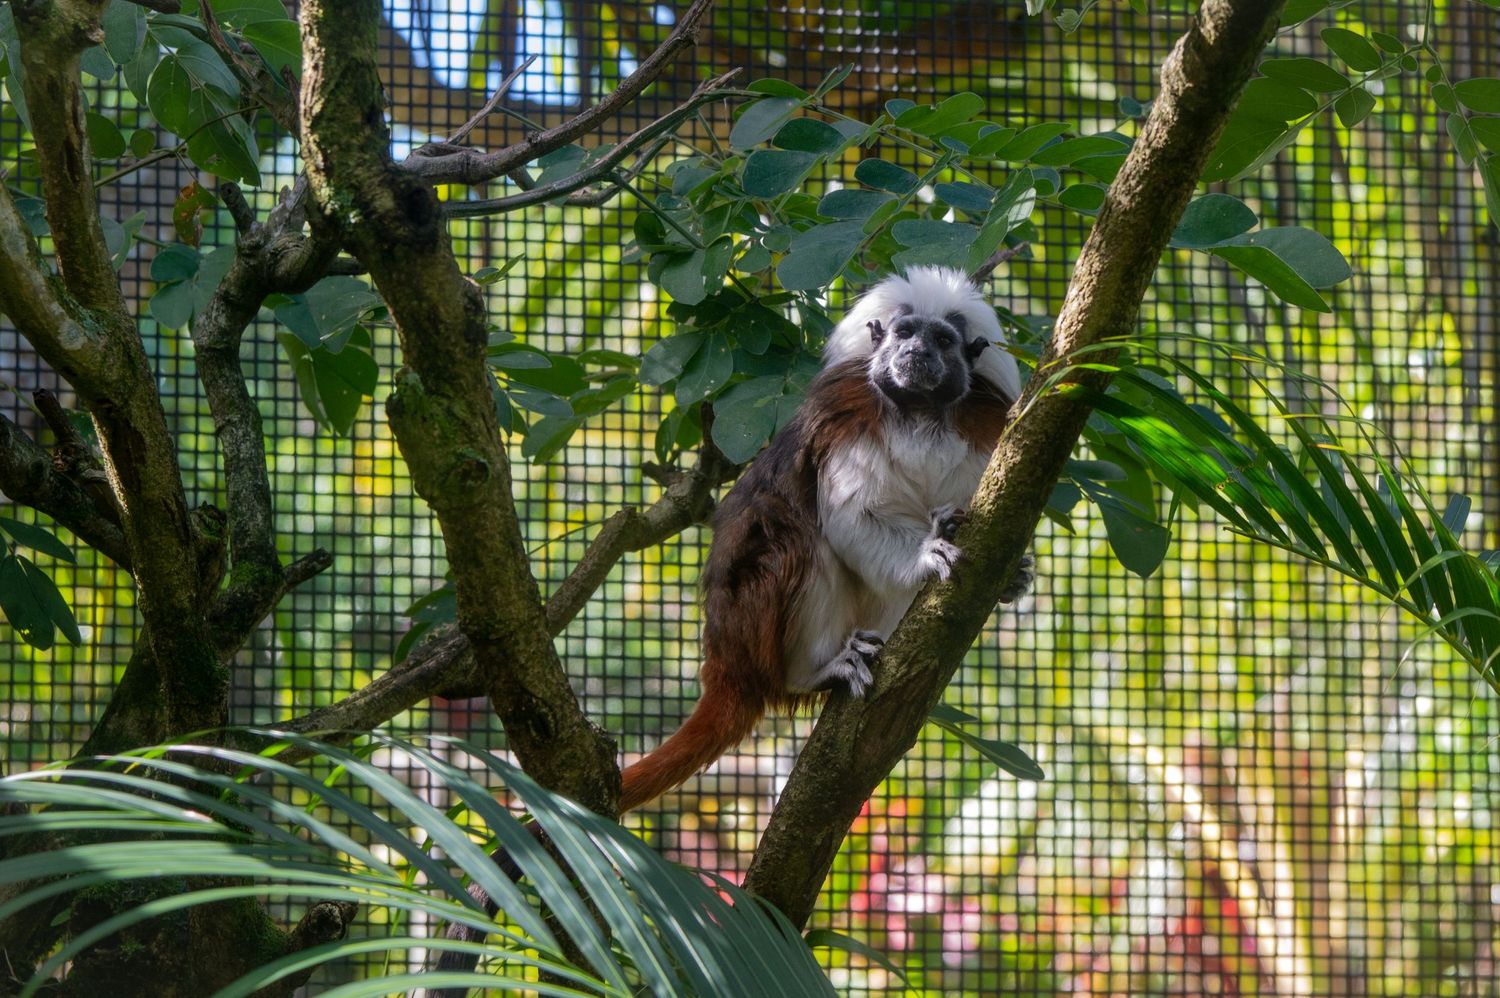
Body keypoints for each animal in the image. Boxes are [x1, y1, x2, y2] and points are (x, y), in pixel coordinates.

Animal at [420, 266, 1031, 996]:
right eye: (903, 333)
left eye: (941, 341)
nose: (913, 355)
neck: (921, 415)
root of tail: (728, 665)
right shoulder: (853, 420)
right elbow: (855, 517)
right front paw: (926, 554)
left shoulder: (980, 431)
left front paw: (1012, 576)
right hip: (755, 621)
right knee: (796, 534)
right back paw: (818, 668)